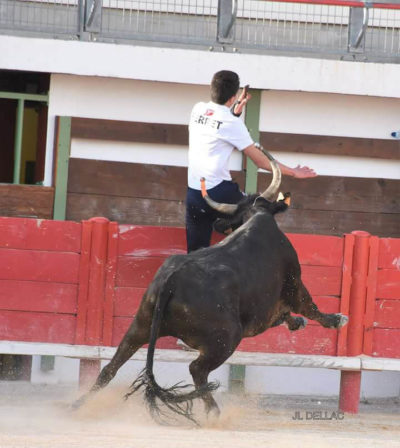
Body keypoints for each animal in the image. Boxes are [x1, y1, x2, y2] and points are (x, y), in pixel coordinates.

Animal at [74, 150, 346, 424]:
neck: (256, 216)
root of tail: (173, 278)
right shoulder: (293, 283)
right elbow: (309, 306)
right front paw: (336, 319)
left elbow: (288, 314)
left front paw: (296, 322)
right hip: (226, 338)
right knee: (197, 369)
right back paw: (213, 411)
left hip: (141, 324)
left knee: (111, 366)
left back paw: (78, 405)